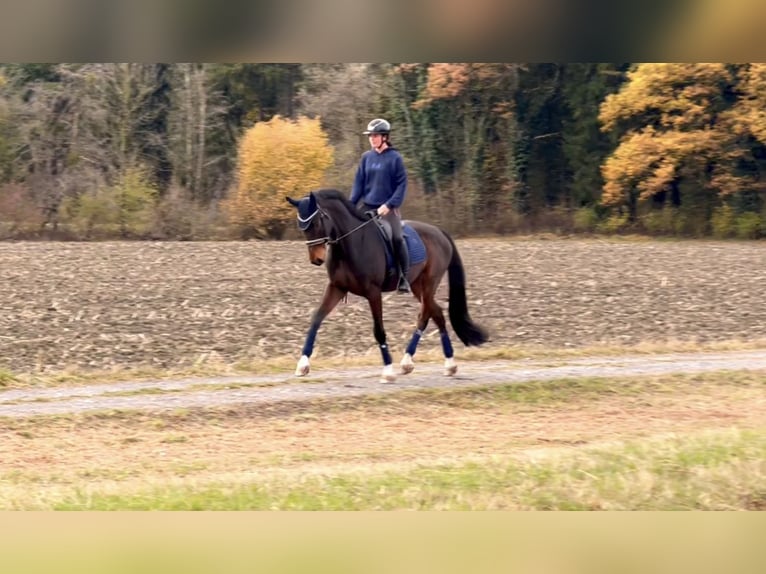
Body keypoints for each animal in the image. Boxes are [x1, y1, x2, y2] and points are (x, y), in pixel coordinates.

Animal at [284, 189, 488, 384]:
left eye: (316, 222)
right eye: (301, 226)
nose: (316, 259)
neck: (351, 243)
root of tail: (439, 231)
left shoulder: (373, 293)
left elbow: (379, 330)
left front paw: (388, 371)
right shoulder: (336, 288)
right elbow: (316, 319)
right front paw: (303, 364)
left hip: (429, 284)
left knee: (427, 314)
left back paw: (444, 364)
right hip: (417, 286)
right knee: (434, 313)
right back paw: (419, 363)